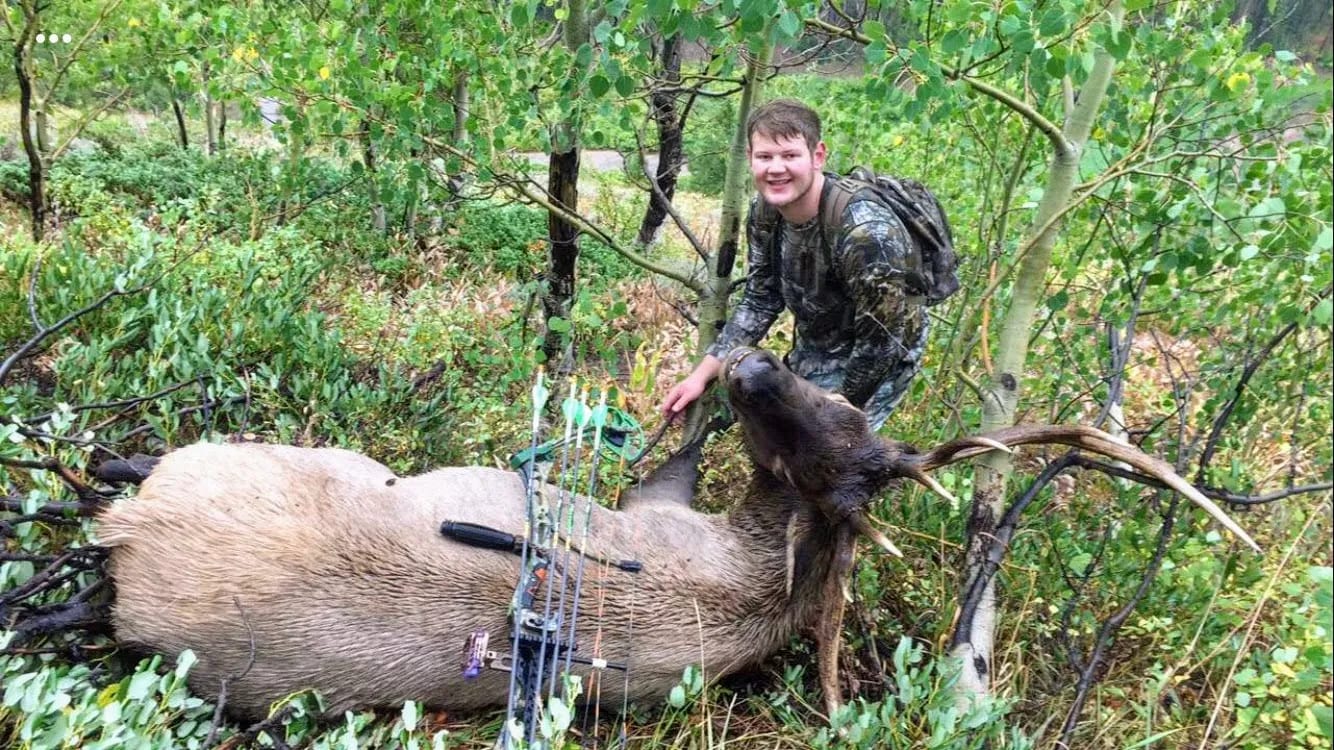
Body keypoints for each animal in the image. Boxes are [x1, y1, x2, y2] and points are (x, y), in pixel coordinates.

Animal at [94, 346, 1258, 721]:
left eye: (839, 418)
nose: (755, 366)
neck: (758, 572)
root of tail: (130, 545)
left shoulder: (664, 505)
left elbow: (668, 458)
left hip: (288, 456)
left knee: (131, 475)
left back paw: (108, 471)